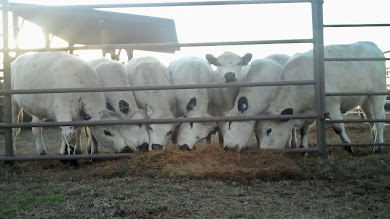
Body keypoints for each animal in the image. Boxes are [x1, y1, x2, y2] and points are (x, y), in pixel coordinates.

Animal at [258, 42, 386, 153]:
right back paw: (373, 142)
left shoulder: (332, 104)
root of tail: (372, 45)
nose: (263, 151)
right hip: (365, 100)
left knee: (379, 118)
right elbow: (304, 130)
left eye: (269, 130)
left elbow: (338, 127)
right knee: (371, 121)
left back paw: (378, 145)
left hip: (377, 94)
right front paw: (303, 148)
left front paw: (347, 145)